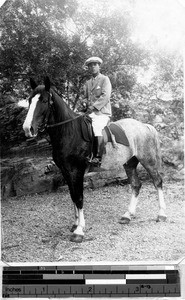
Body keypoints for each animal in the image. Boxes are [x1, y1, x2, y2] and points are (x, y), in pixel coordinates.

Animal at [22, 76, 166, 243]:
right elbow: (72, 196)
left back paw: (161, 214)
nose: (28, 129)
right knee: (136, 185)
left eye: (44, 101)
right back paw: (127, 215)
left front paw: (79, 230)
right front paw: (75, 224)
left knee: (157, 182)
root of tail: (144, 125)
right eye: (30, 100)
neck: (69, 132)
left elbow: (78, 197)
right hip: (129, 163)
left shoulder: (76, 171)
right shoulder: (66, 171)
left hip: (148, 160)